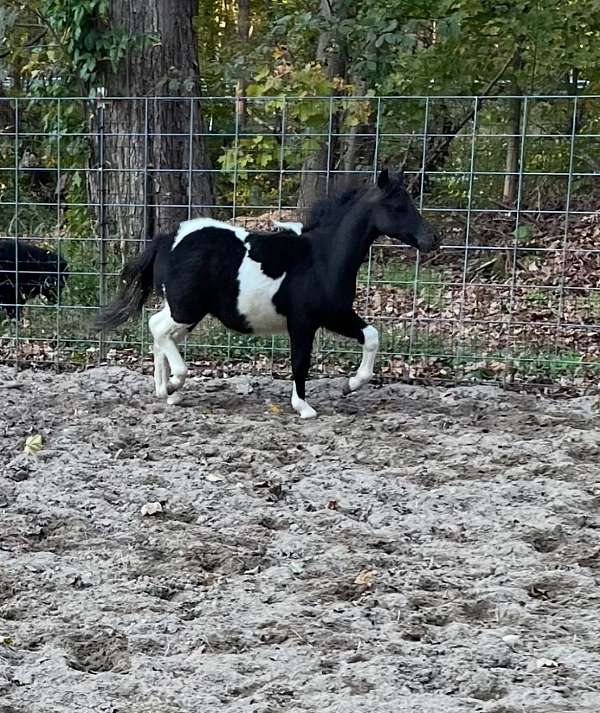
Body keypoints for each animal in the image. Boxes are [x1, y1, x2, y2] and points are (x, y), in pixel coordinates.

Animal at [94, 169, 440, 418]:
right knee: (158, 330)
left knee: (161, 333)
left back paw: (168, 392)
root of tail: (167, 240)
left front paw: (350, 385)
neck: (322, 258)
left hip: (187, 312)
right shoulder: (304, 322)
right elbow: (300, 361)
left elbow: (371, 336)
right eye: (397, 207)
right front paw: (304, 407)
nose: (432, 239)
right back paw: (173, 384)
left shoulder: (334, 315)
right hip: (186, 308)